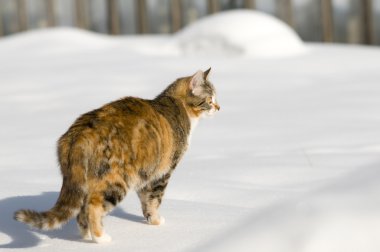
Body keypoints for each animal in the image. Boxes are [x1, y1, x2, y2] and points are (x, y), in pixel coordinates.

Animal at [13, 68, 220, 243]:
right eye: (210, 99)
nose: (219, 108)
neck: (176, 104)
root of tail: (78, 135)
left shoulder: (146, 172)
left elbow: (145, 200)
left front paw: (149, 219)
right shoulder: (163, 172)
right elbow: (154, 199)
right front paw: (156, 221)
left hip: (86, 181)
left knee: (81, 211)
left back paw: (87, 236)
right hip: (117, 180)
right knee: (92, 206)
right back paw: (101, 238)